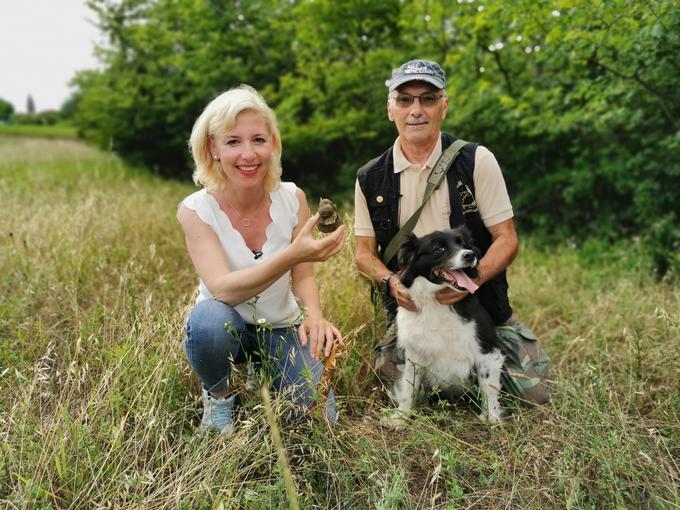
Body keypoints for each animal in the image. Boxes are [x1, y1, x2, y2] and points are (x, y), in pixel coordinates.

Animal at [394, 227, 504, 422]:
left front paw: (492, 420)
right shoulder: (414, 352)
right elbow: (408, 386)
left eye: (463, 244)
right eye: (439, 249)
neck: (435, 302)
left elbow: (488, 389)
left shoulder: (486, 351)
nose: (469, 255)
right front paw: (401, 416)